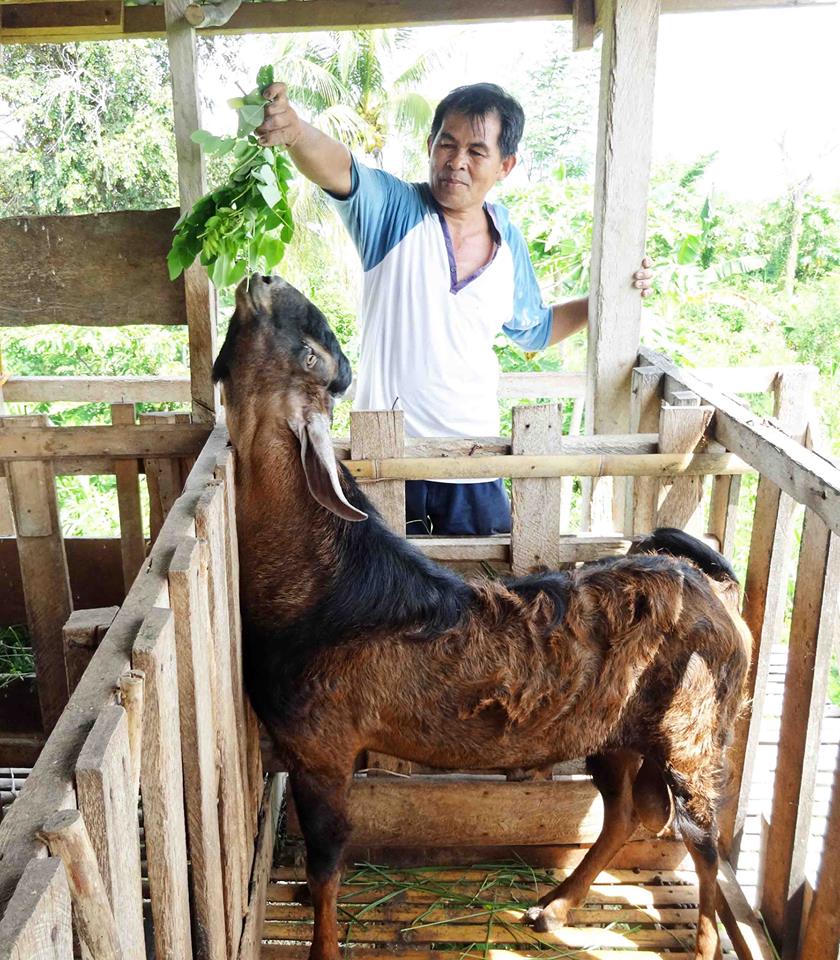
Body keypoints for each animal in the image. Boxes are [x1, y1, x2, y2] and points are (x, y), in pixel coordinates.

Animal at [213, 272, 752, 960]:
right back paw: (552, 907)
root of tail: (710, 585)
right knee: (628, 812)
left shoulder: (322, 748)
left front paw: (323, 943)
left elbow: (328, 858)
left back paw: (698, 938)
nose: (262, 278)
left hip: (693, 734)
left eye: (309, 355)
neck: (322, 588)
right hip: (615, 733)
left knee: (701, 838)